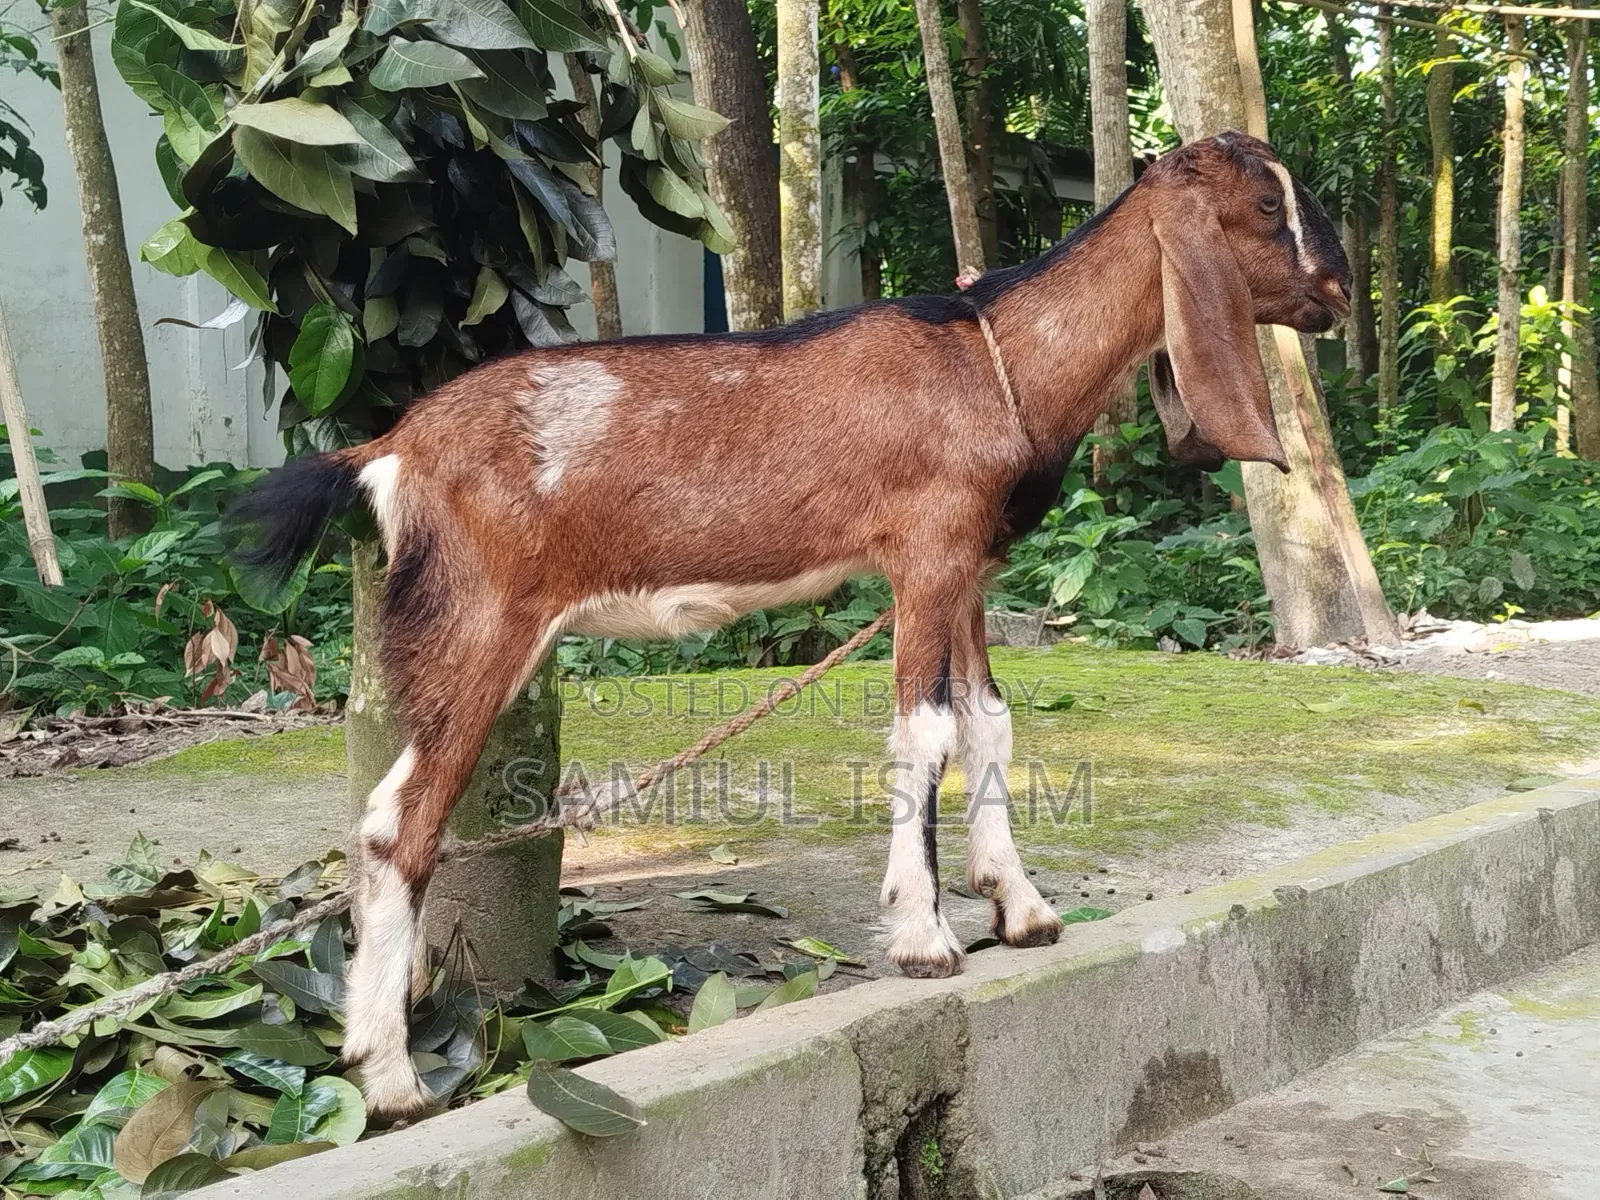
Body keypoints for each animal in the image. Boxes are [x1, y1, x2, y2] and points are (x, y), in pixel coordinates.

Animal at [231, 132, 1350, 1117]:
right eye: (1268, 207)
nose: (1340, 291)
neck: (996, 360)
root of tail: (393, 448)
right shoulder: (923, 558)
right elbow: (926, 733)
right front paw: (924, 938)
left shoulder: (968, 573)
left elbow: (990, 724)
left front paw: (1023, 908)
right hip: (482, 620)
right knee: (401, 823)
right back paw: (391, 1079)